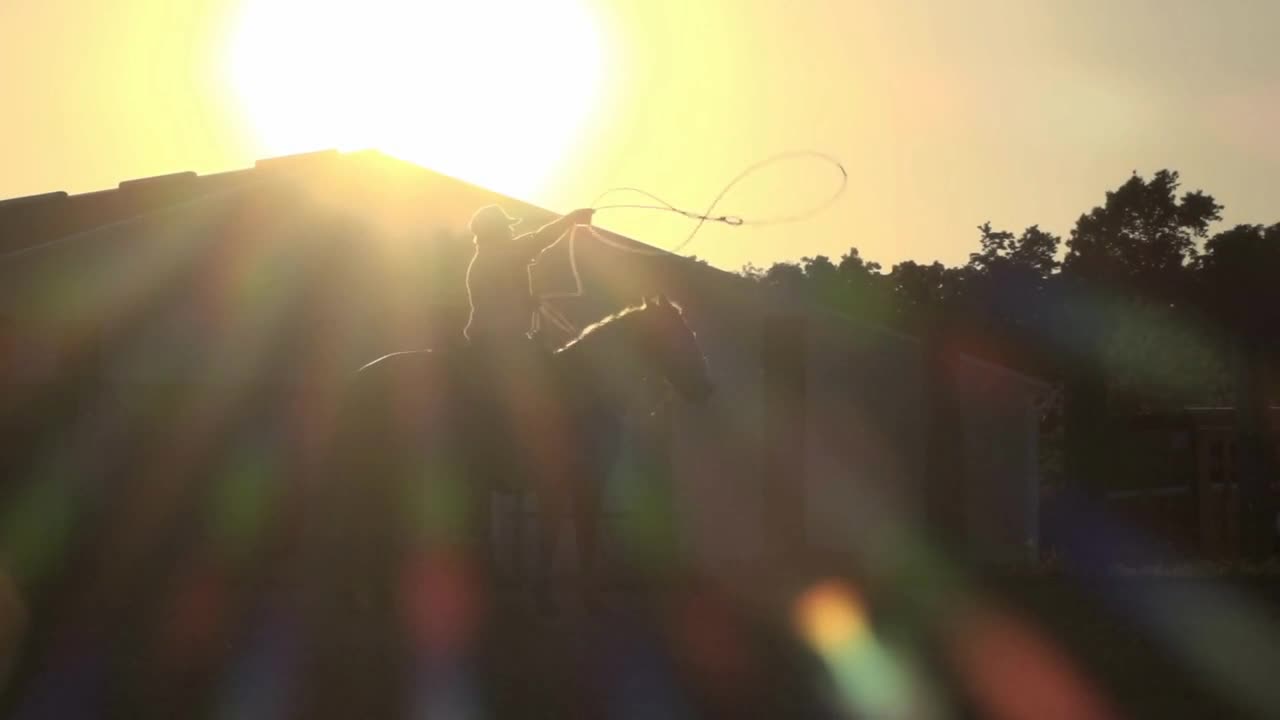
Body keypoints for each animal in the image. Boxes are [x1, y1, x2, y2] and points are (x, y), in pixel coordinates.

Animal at [330, 292, 711, 609]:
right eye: (679, 334)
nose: (704, 389)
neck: (581, 391)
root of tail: (357, 379)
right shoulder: (565, 484)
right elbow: (557, 539)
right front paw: (550, 599)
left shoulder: (576, 485)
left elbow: (576, 540)